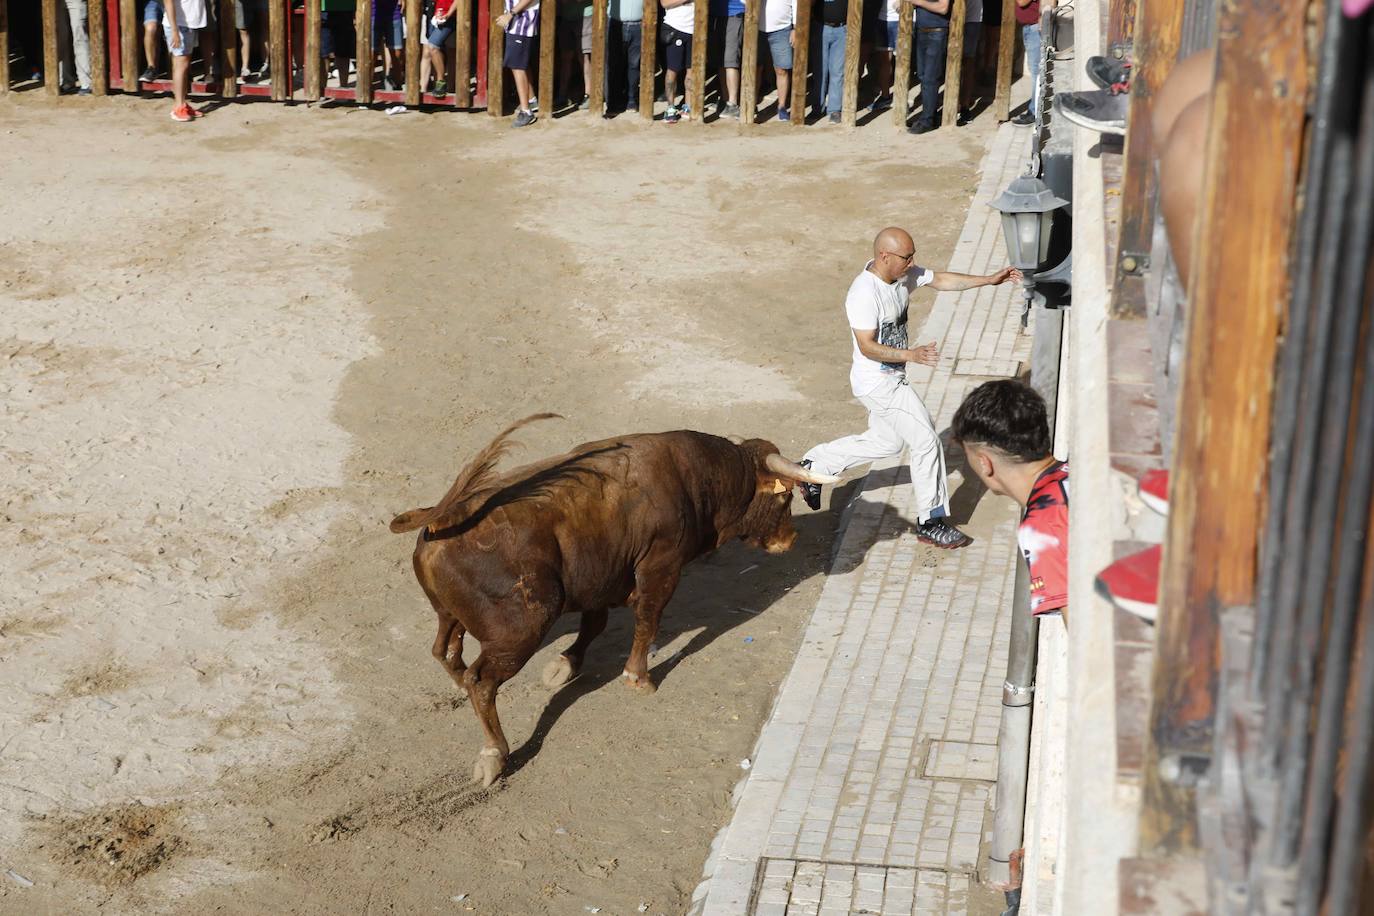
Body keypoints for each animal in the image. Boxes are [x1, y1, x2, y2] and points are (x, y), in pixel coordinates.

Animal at [390, 420, 835, 785]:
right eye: (784, 500)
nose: (790, 539)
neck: (699, 480)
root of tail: (441, 519)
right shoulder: (660, 566)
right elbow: (648, 620)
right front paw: (638, 677)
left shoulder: (601, 579)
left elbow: (595, 625)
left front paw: (563, 666)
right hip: (522, 629)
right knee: (481, 682)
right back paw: (494, 755)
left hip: (450, 615)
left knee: (446, 652)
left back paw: (460, 688)